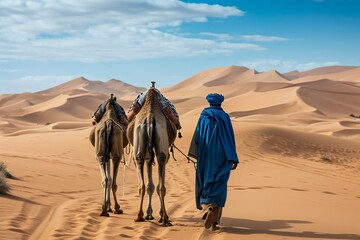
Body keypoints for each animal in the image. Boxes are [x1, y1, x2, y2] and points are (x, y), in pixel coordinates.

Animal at [126, 83, 177, 226]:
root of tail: (149, 117)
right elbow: (153, 185)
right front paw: (153, 213)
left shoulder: (149, 156)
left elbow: (150, 185)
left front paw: (149, 214)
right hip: (160, 153)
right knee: (160, 185)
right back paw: (164, 218)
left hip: (139, 152)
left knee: (142, 184)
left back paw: (140, 216)